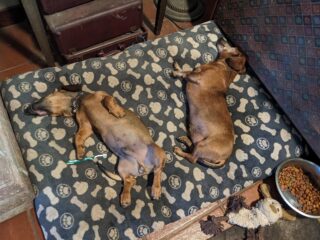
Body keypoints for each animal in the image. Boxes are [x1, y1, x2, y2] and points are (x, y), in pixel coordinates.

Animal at [25, 85, 165, 207]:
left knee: (158, 170)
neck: (80, 101)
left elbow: (108, 100)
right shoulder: (86, 125)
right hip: (122, 166)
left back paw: (156, 189)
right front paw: (80, 150)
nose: (27, 108)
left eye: (44, 97)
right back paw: (125, 197)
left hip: (157, 150)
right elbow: (77, 137)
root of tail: (143, 167)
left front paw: (117, 112)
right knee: (131, 180)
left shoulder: (103, 95)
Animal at [171, 38, 246, 168]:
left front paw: (176, 73)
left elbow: (186, 73)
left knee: (192, 158)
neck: (223, 66)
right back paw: (185, 140)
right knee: (193, 148)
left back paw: (179, 151)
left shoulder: (196, 77)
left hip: (203, 146)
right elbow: (187, 70)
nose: (221, 38)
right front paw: (178, 67)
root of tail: (225, 158)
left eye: (234, 47)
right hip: (199, 143)